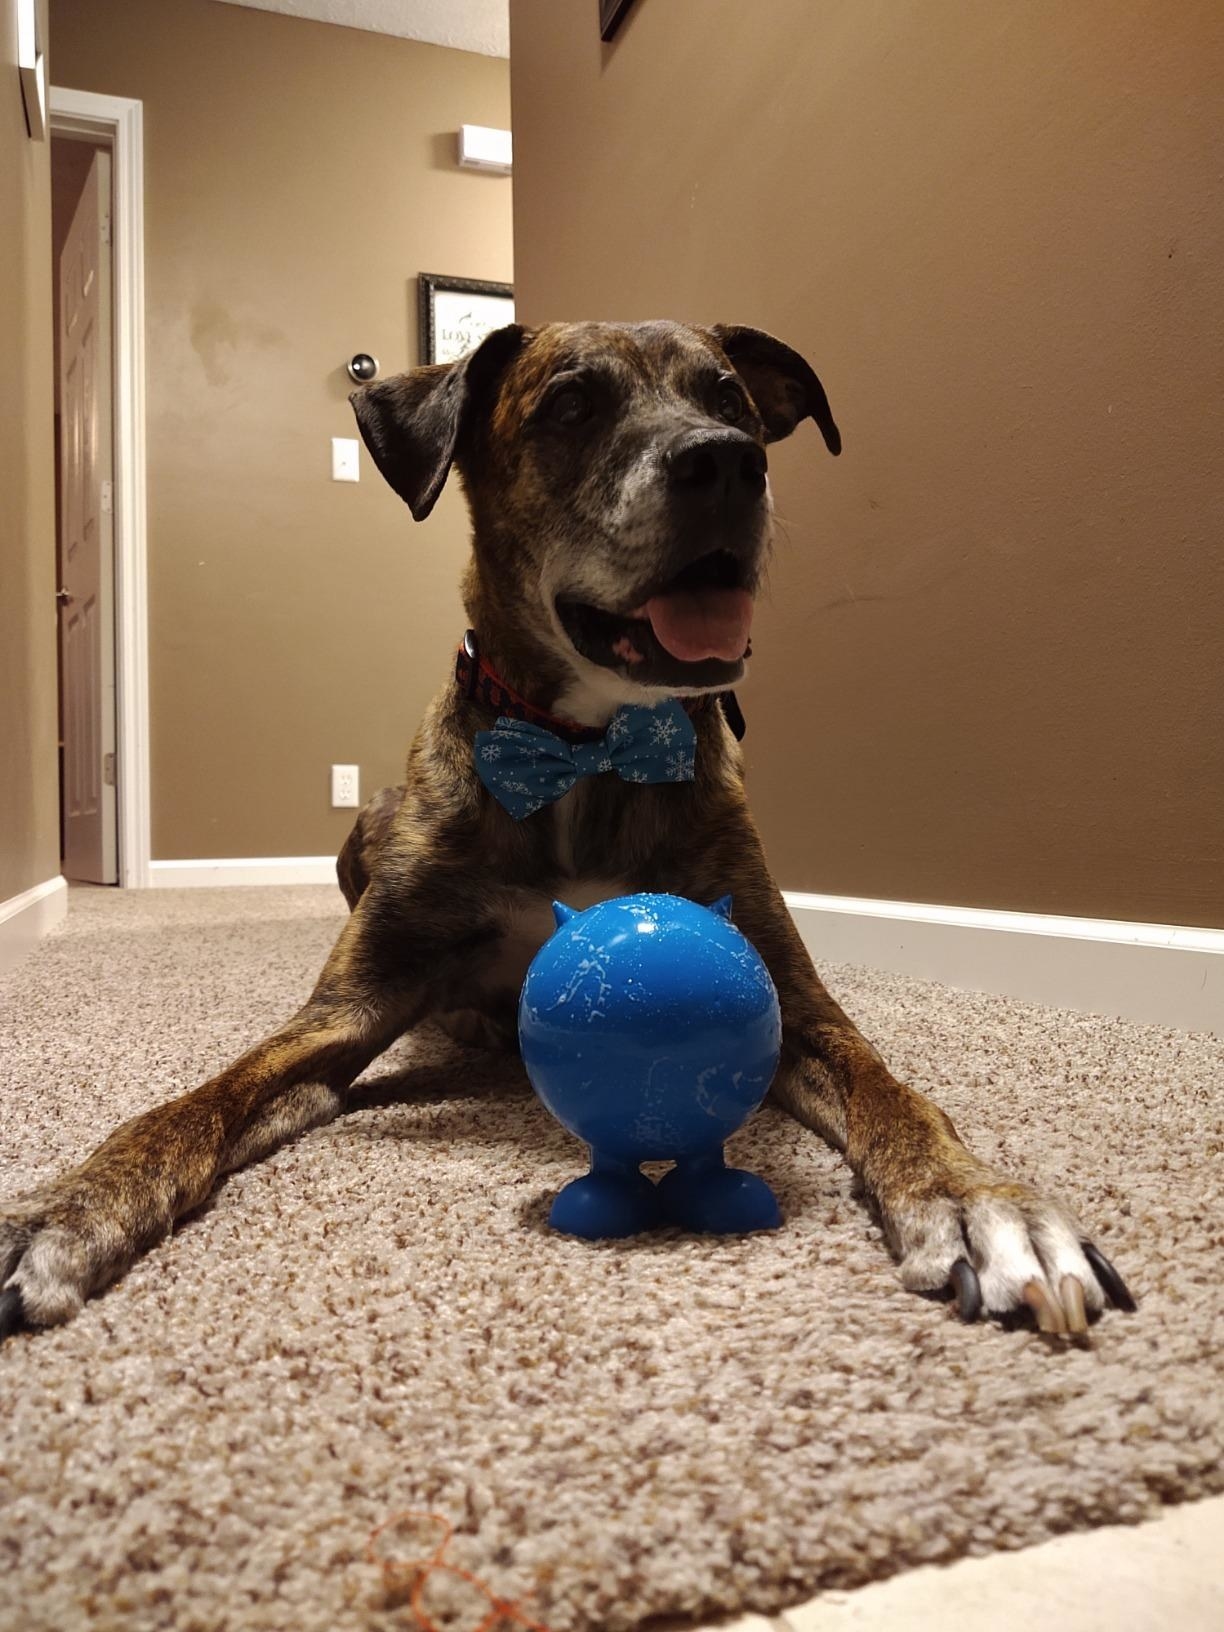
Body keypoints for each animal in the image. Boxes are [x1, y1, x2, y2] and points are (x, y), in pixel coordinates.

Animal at [0, 321, 1135, 1338]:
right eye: (572, 406)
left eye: (730, 399)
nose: (729, 464)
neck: (591, 747)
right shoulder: (342, 1013)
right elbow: (192, 1103)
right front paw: (64, 1208)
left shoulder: (795, 1001)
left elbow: (895, 1093)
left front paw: (982, 1204)